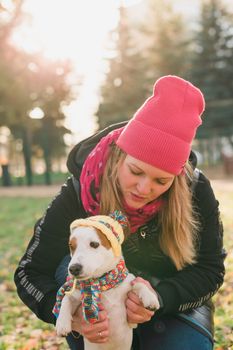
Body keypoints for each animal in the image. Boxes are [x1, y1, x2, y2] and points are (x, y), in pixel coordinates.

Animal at [53, 212, 159, 348]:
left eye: (94, 244)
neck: (102, 283)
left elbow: (138, 283)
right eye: (71, 246)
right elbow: (66, 299)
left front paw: (150, 298)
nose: (73, 268)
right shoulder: (76, 297)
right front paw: (61, 323)